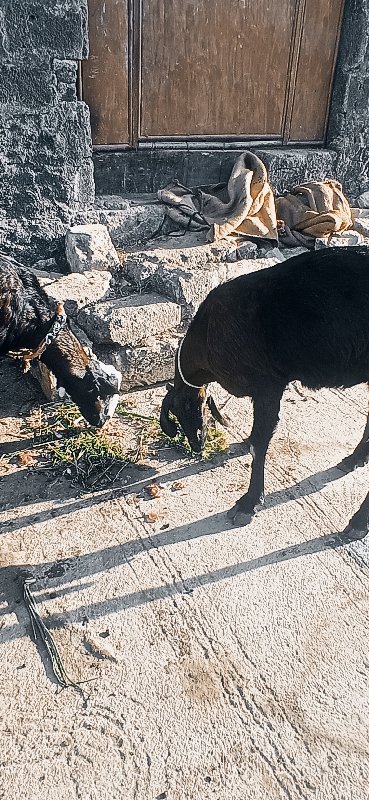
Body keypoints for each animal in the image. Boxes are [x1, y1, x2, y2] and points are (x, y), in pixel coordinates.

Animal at [160, 245, 369, 532]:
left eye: (188, 406)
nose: (197, 444)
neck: (208, 334)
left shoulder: (267, 385)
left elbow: (260, 444)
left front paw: (248, 503)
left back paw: (358, 522)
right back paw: (354, 460)